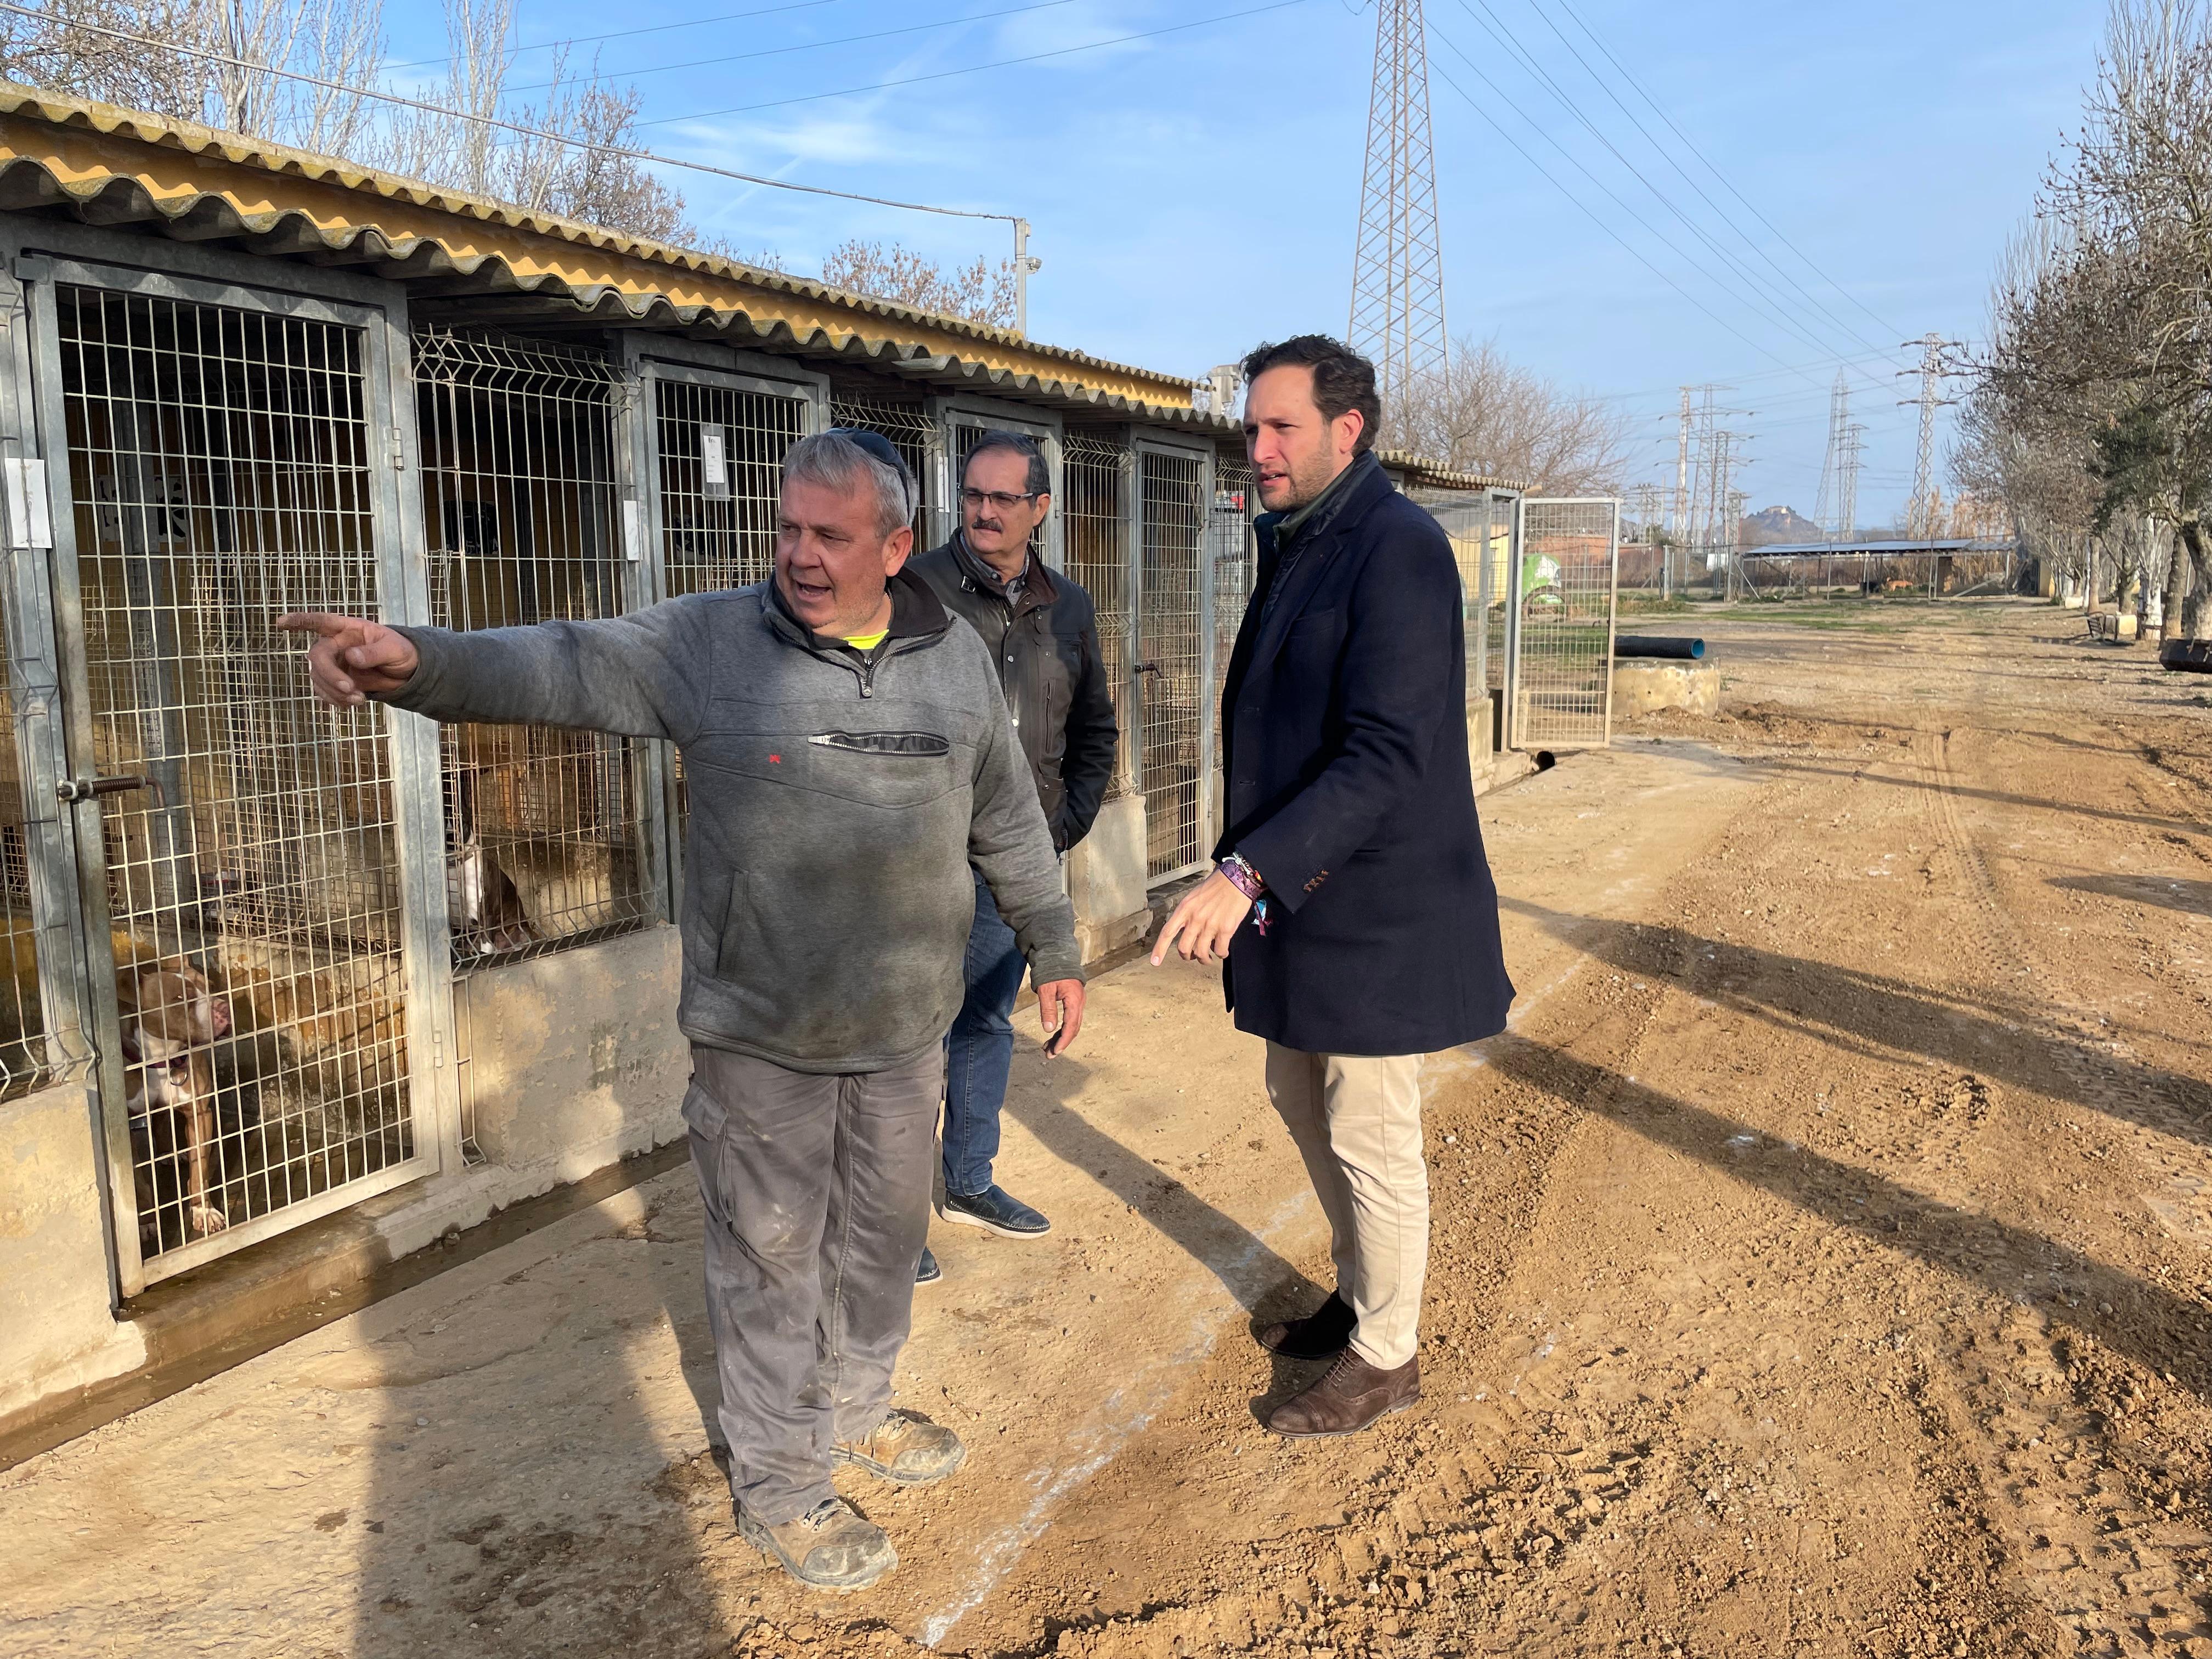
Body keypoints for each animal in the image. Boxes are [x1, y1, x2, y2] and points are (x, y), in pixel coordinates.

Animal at [119, 955, 231, 1238]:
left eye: (211, 987)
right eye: (179, 997)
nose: (223, 1008)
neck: (162, 1058)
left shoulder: (200, 1113)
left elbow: (200, 1169)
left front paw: (204, 1212)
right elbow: (138, 1184)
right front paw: (145, 1221)